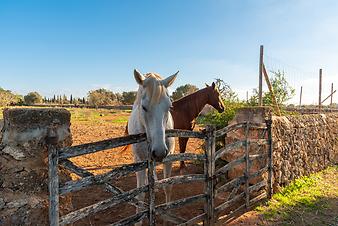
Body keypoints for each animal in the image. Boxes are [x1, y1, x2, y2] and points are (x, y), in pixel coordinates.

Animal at [127, 69, 180, 225]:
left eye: (169, 107)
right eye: (144, 107)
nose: (160, 152)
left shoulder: (169, 158)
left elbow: (168, 186)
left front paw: (168, 216)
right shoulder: (139, 161)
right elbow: (140, 196)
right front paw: (138, 221)